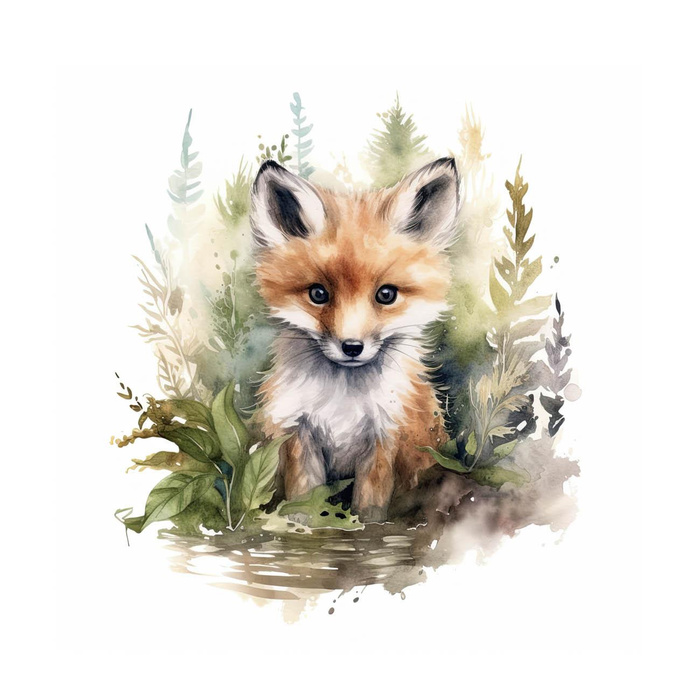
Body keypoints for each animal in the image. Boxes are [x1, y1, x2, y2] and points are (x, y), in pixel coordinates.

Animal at [250, 157, 461, 522]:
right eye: (318, 294)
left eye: (386, 294)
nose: (351, 347)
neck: (342, 402)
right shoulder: (299, 435)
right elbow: (303, 503)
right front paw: (301, 529)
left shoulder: (385, 437)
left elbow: (370, 510)